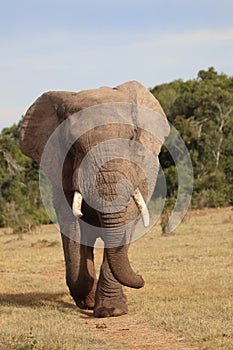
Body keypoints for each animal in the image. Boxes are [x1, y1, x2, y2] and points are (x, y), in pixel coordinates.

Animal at [19, 81, 169, 318]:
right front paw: (88, 302)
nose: (142, 279)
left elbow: (124, 222)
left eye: (132, 137)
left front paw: (111, 311)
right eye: (73, 145)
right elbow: (71, 226)